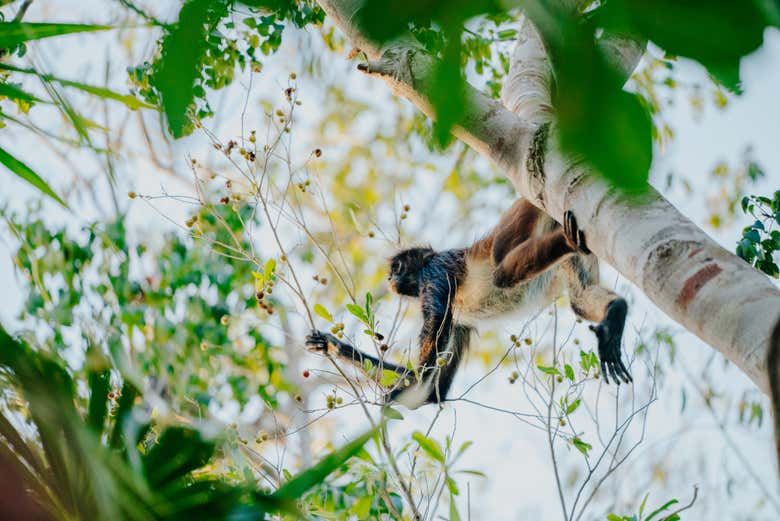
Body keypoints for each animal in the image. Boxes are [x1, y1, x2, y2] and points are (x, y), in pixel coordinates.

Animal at [306, 199, 631, 406]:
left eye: (397, 268)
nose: (389, 279)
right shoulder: (459, 322)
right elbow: (434, 393)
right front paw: (330, 344)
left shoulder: (434, 272)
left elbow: (426, 364)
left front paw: (403, 391)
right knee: (580, 298)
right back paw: (614, 317)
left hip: (520, 217)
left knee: (502, 271)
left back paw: (566, 241)